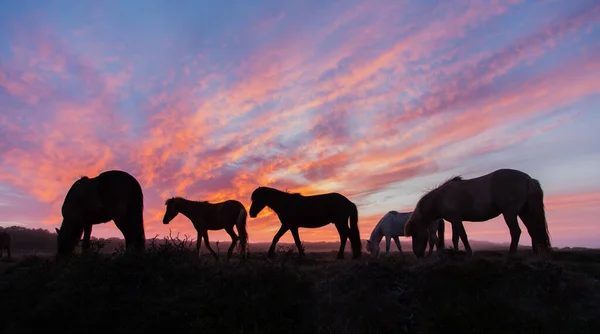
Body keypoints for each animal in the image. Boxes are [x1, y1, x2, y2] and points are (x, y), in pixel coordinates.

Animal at [404, 168, 552, 258]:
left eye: (415, 234)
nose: (418, 254)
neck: (441, 197)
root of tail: (528, 179)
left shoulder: (456, 219)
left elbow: (463, 236)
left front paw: (469, 254)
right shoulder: (454, 220)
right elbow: (455, 238)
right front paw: (456, 253)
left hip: (509, 213)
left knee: (516, 232)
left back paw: (511, 254)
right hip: (524, 212)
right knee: (533, 230)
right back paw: (535, 254)